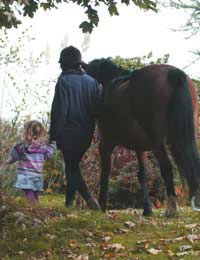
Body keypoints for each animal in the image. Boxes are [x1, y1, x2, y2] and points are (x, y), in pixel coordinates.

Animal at [86, 58, 200, 215]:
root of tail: (173, 73)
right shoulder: (140, 147)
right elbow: (142, 174)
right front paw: (147, 209)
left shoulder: (106, 142)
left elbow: (106, 171)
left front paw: (102, 205)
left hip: (157, 140)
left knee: (166, 166)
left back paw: (171, 208)